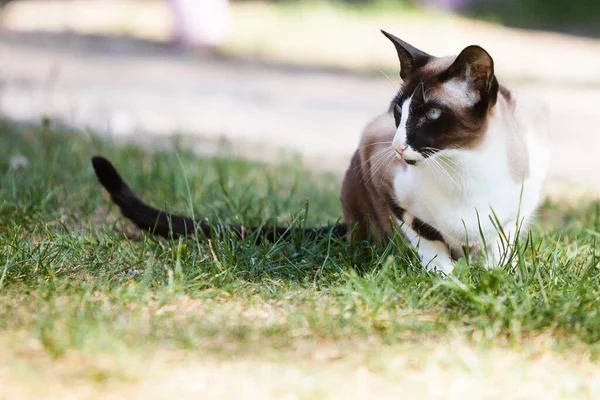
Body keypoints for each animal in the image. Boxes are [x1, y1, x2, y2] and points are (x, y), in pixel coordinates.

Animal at [91, 30, 552, 276]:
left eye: (431, 114)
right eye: (398, 112)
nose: (399, 145)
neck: (463, 168)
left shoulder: (517, 210)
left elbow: (499, 250)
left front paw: (493, 276)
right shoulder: (384, 176)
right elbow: (429, 242)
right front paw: (450, 278)